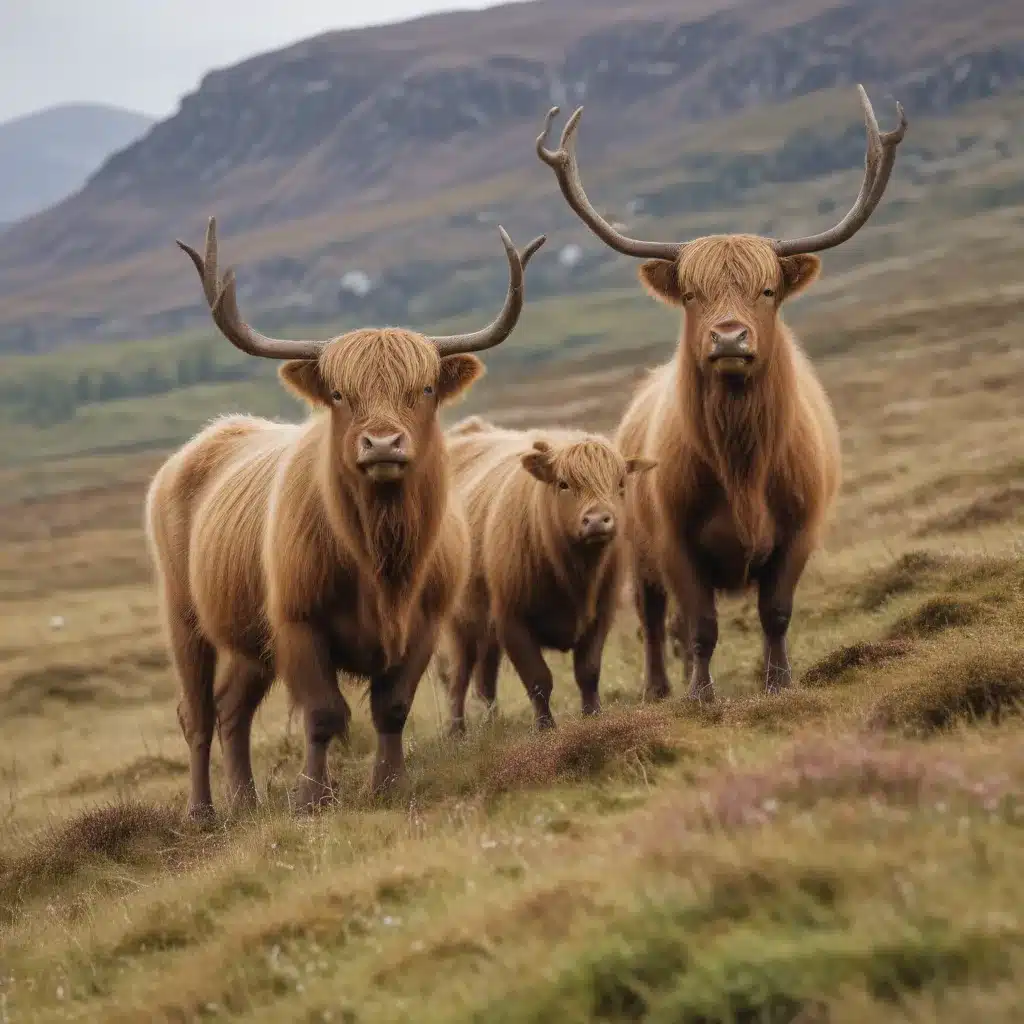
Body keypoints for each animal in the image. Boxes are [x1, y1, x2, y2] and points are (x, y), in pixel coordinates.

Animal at [146, 218, 544, 823]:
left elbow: (393, 707)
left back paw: (246, 801)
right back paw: (203, 812)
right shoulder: (297, 621)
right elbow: (324, 714)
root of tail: (207, 439)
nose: (382, 443)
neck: (380, 557)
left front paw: (389, 784)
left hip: (248, 636)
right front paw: (312, 797)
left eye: (424, 388)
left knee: (233, 708)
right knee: (198, 714)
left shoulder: (425, 622)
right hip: (183, 614)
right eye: (338, 393)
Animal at [436, 419, 651, 733]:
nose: (597, 520)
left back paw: (493, 723)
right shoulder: (511, 619)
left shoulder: (601, 614)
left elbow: (588, 671)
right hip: (460, 622)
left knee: (485, 679)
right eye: (564, 484)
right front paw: (545, 727)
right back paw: (456, 731)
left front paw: (593, 715)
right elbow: (538, 678)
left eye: (621, 483)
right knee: (459, 676)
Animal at [536, 88, 905, 700]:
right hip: (634, 545)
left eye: (768, 289)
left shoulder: (800, 528)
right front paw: (700, 696)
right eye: (690, 293)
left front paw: (779, 682)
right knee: (654, 618)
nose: (730, 337)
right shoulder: (672, 537)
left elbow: (775, 612)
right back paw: (660, 688)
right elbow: (700, 623)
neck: (742, 469)